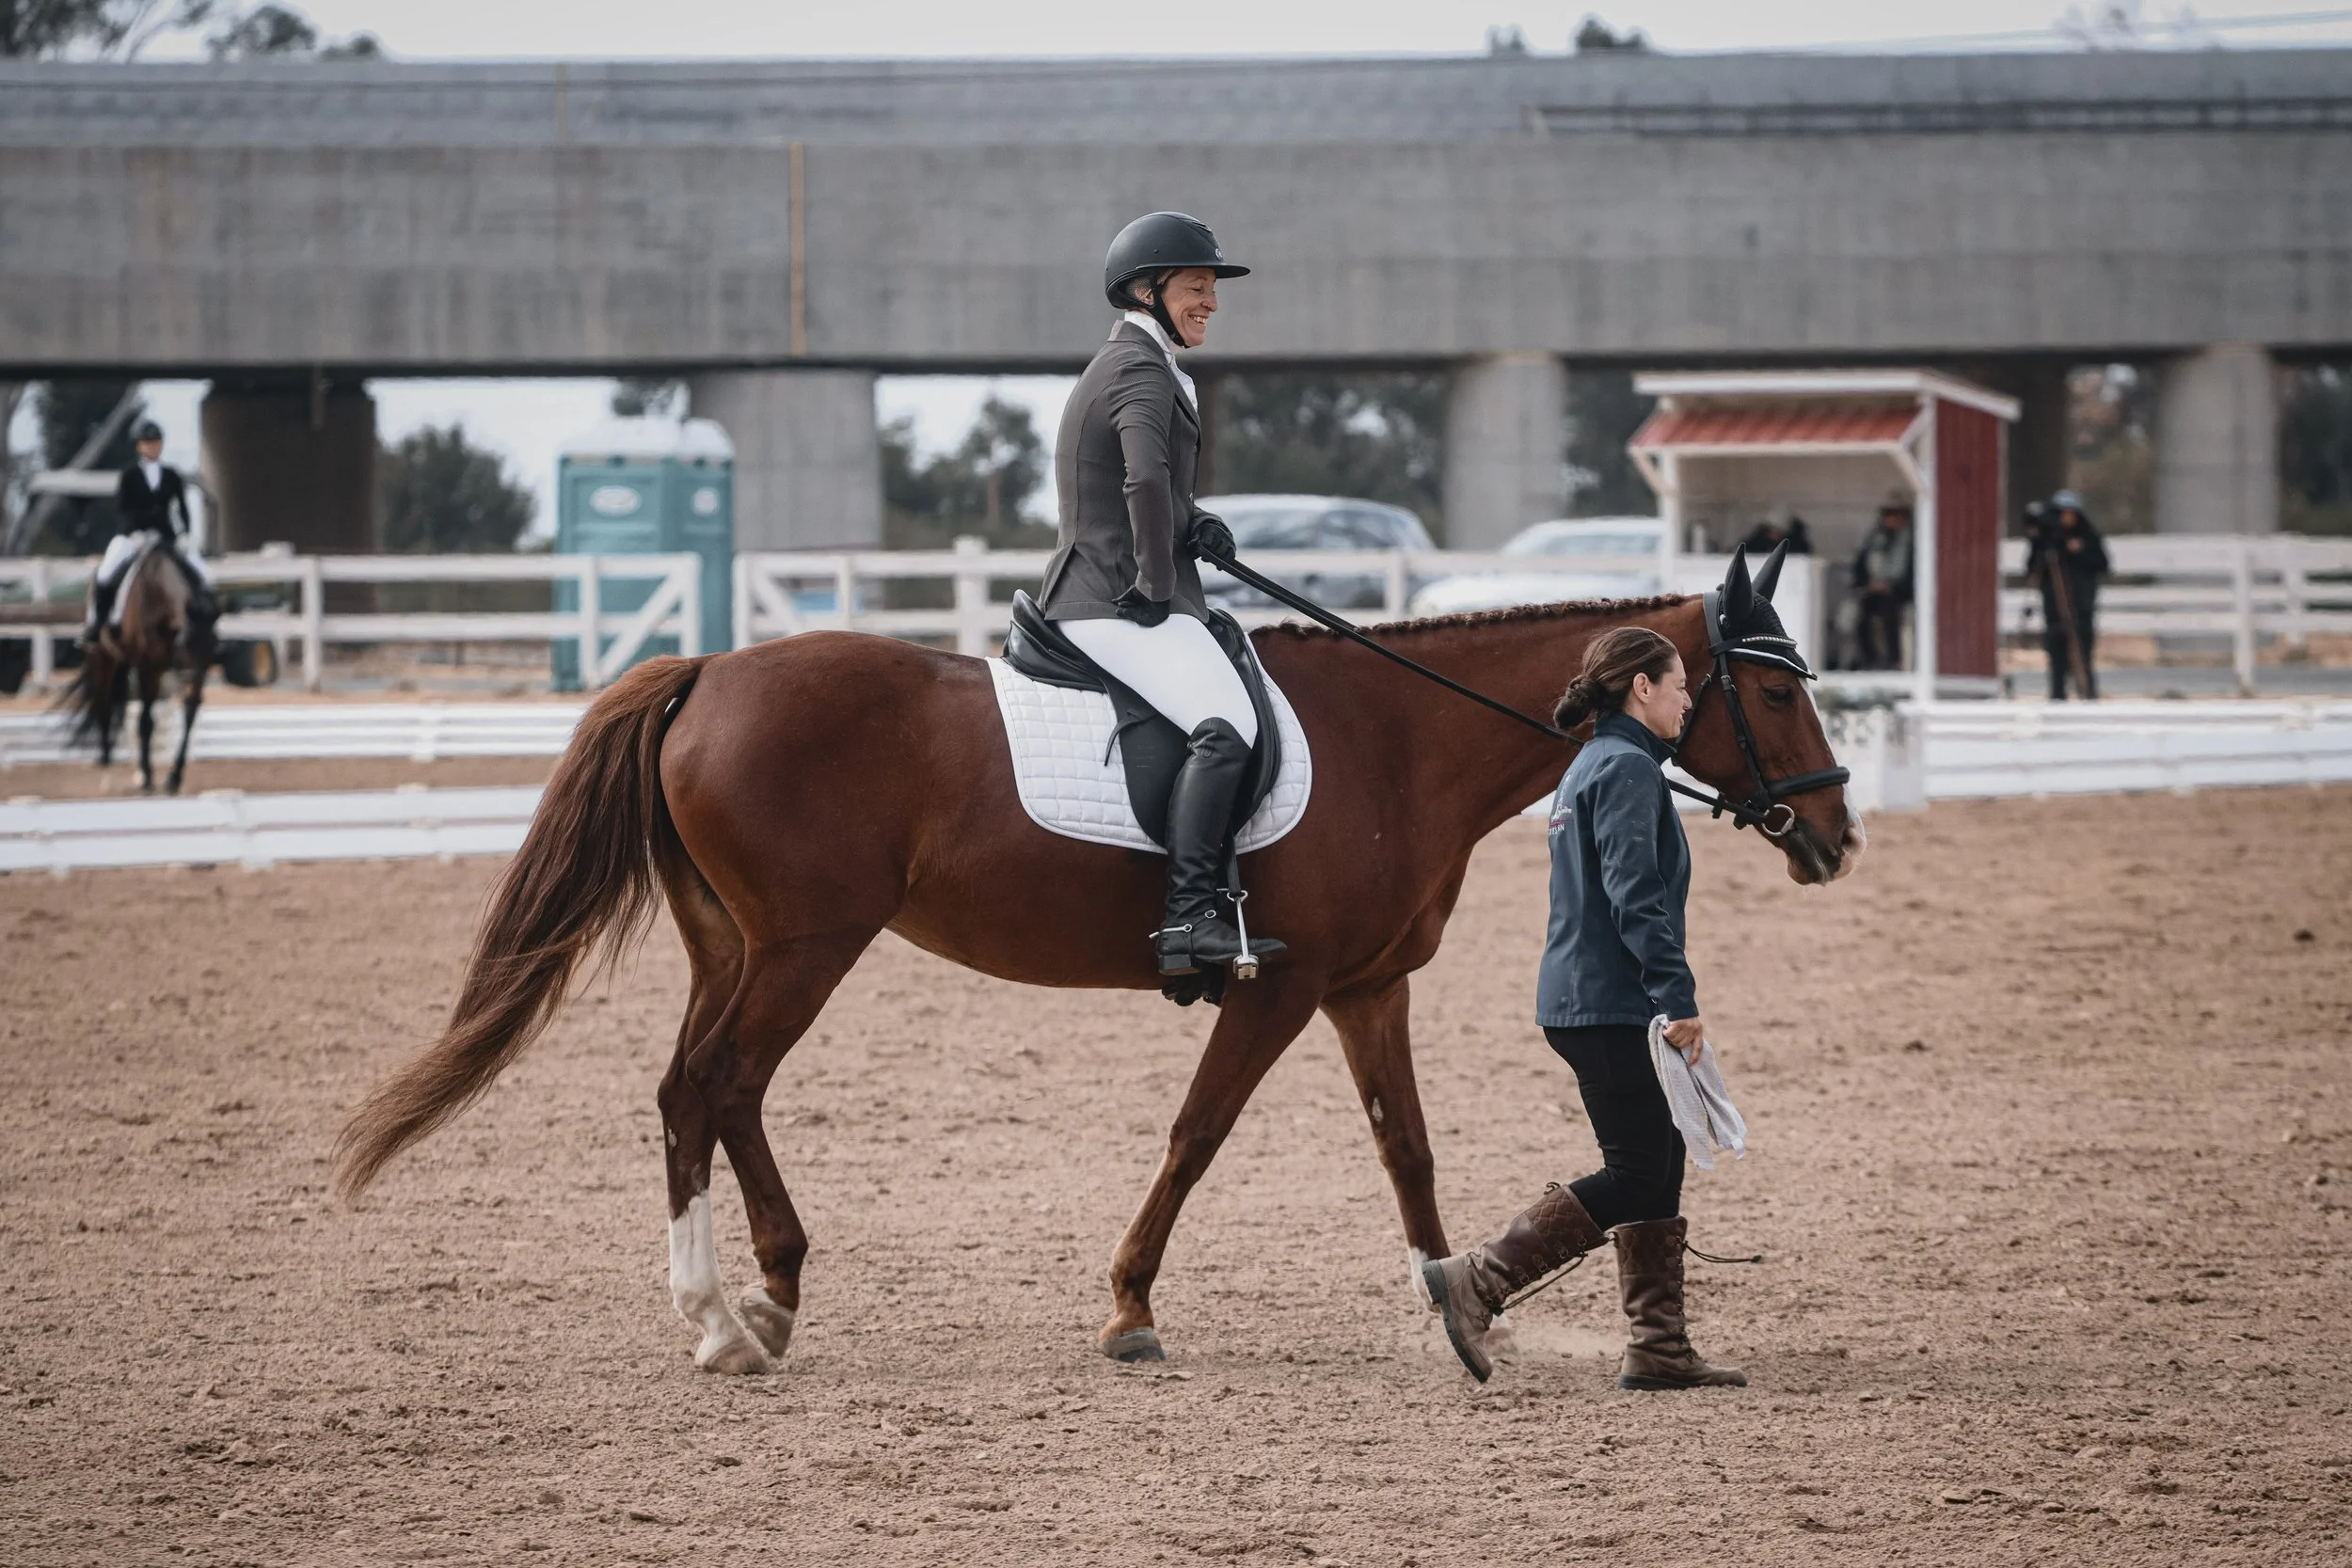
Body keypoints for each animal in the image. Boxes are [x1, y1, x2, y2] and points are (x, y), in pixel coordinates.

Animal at [59, 545, 215, 796]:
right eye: (184, 645)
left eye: (213, 646)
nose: (192, 682)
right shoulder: (148, 667)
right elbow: (145, 722)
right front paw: (147, 776)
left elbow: (188, 716)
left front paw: (173, 778)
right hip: (101, 658)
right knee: (103, 708)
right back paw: (107, 772)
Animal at [337, 548, 1861, 1374]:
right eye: (1773, 687)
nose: (1836, 838)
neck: (1397, 739)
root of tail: (705, 667)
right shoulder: (1281, 983)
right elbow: (1196, 1132)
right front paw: (1130, 1308)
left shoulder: (1365, 986)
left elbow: (1407, 1147)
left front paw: (1463, 1312)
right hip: (804, 946)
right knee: (704, 1088)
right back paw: (721, 1317)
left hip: (746, 947)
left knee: (712, 1092)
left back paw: (765, 1293)